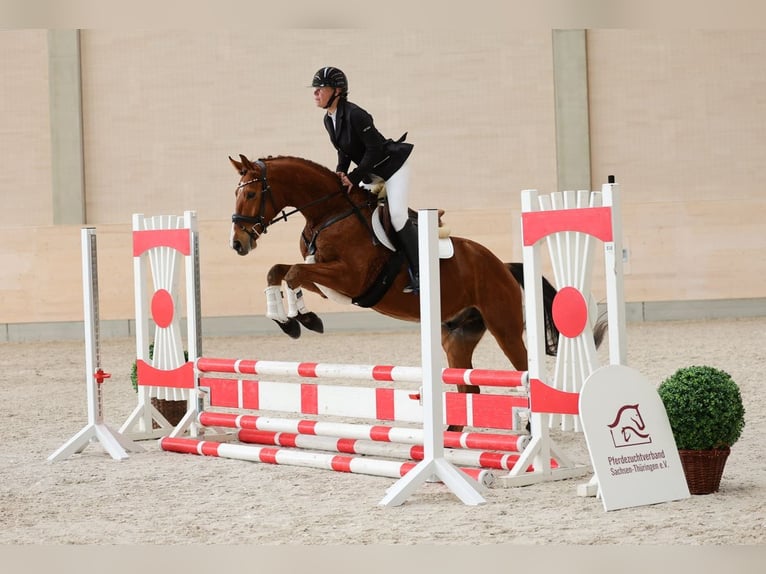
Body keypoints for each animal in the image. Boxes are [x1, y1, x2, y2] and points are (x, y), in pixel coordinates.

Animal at [229, 154, 579, 429]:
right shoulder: (328, 282)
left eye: (251, 192)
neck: (328, 214)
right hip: (457, 336)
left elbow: (293, 273)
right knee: (468, 390)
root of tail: (502, 265)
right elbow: (280, 271)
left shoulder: (349, 278)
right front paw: (292, 320)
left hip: (503, 327)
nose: (238, 243)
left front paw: (299, 320)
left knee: (523, 372)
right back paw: (453, 439)